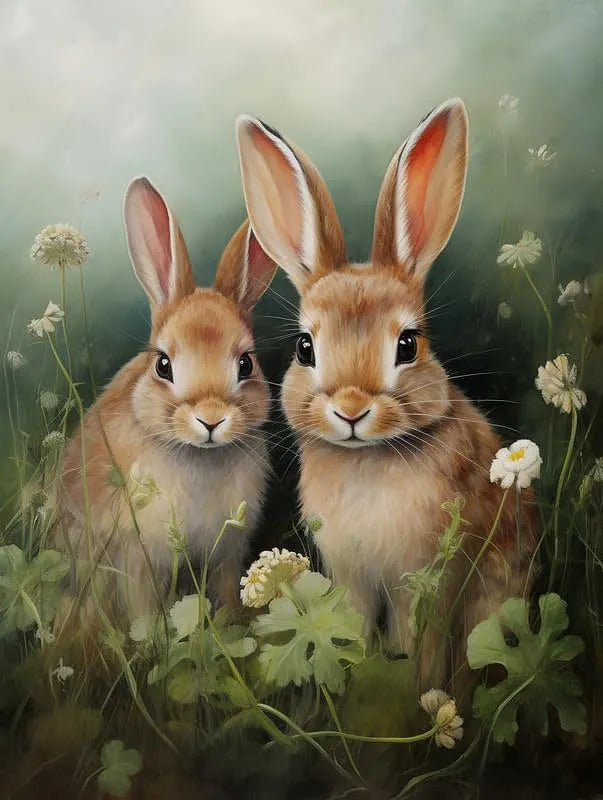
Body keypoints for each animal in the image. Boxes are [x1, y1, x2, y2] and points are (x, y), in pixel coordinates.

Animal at [56, 176, 277, 621]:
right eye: (163, 365)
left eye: (246, 364)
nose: (211, 419)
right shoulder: (136, 559)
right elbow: (144, 612)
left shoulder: (227, 554)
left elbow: (227, 593)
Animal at [235, 100, 538, 688]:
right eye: (305, 347)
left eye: (408, 344)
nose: (351, 410)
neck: (366, 459)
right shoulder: (351, 573)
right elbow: (352, 625)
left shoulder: (428, 579)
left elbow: (421, 643)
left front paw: (418, 688)